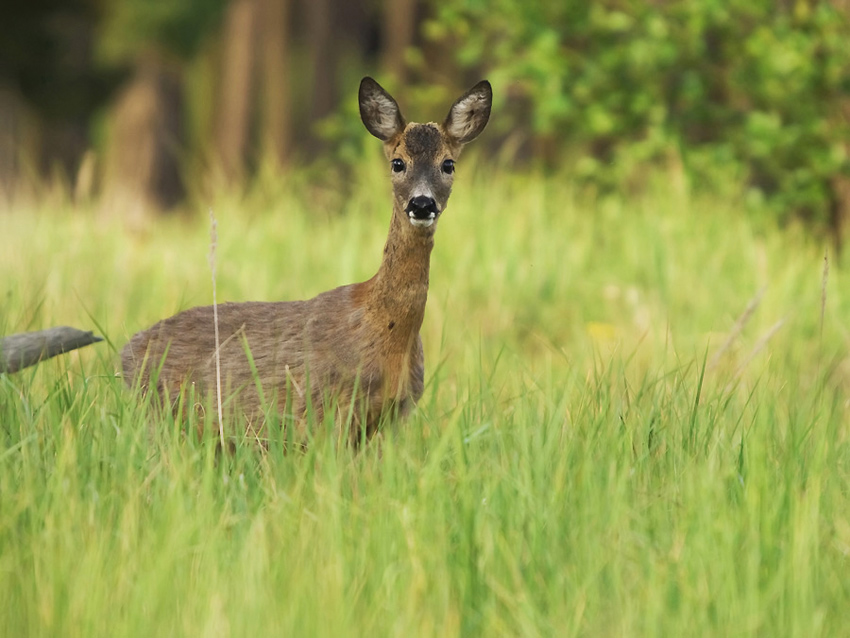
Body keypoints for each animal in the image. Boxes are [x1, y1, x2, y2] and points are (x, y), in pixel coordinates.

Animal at [121, 77, 490, 448]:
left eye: (448, 164)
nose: (422, 204)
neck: (385, 332)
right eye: (397, 163)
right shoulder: (326, 409)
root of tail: (122, 355)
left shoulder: (391, 416)